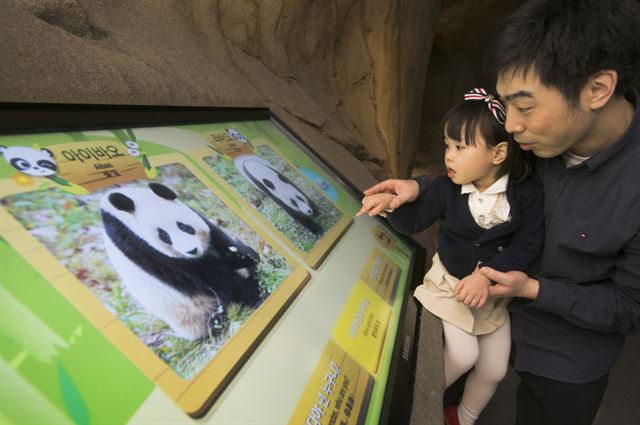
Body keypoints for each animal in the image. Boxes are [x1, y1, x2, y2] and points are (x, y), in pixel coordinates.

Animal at [100, 181, 260, 340]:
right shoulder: (146, 251)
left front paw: (243, 256)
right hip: (195, 314)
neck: (123, 217)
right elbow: (209, 276)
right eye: (164, 236)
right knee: (216, 314)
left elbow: (216, 236)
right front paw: (254, 291)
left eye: (183, 226)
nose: (192, 250)